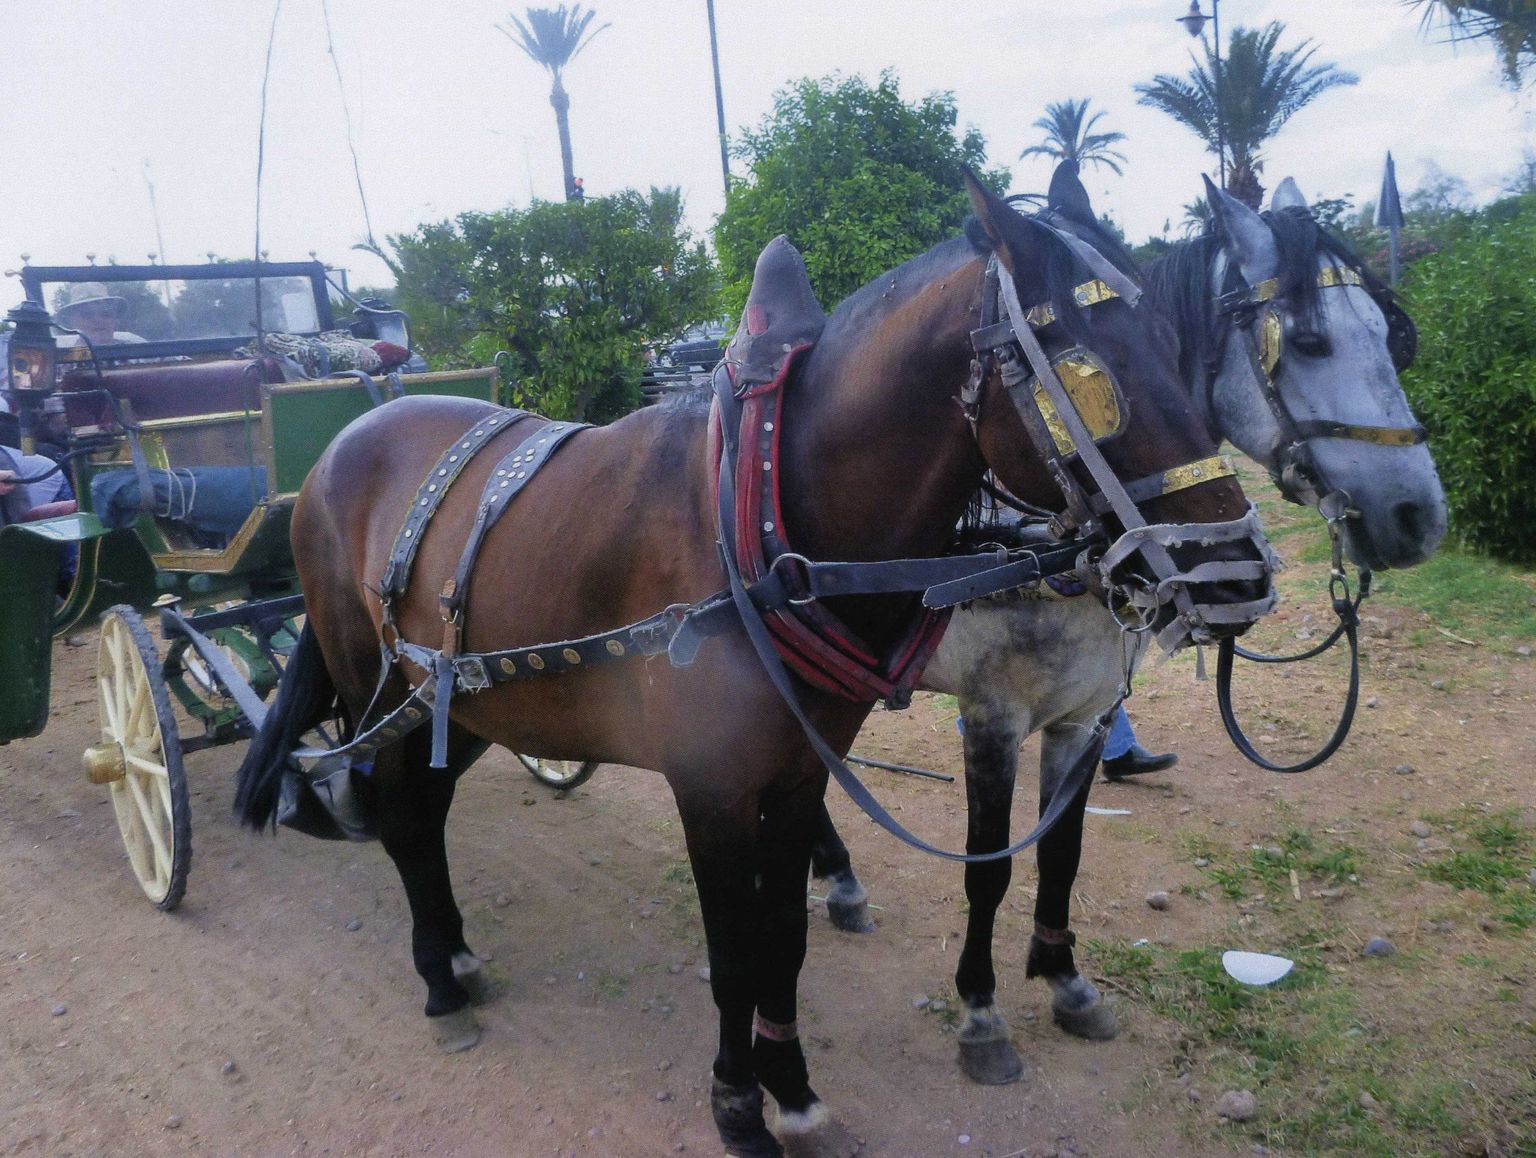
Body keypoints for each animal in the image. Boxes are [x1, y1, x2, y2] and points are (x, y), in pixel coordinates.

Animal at [233, 170, 1276, 1157]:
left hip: (465, 705)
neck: (775, 520)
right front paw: (739, 1102)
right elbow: (734, 947)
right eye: (1090, 364)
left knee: (427, 807)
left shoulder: (803, 767)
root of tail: (342, 445)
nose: (1237, 571)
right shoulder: (713, 786)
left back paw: (451, 953)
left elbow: (784, 936)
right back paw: (439, 984)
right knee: (405, 818)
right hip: (374, 687)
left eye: (1175, 340)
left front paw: (794, 1087)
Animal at [806, 173, 1448, 1088]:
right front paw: (981, 1012)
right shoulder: (991, 718)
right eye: (1309, 341)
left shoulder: (1084, 712)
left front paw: (1065, 979)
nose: (1417, 515)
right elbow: (990, 868)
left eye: (1391, 337)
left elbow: (1062, 853)